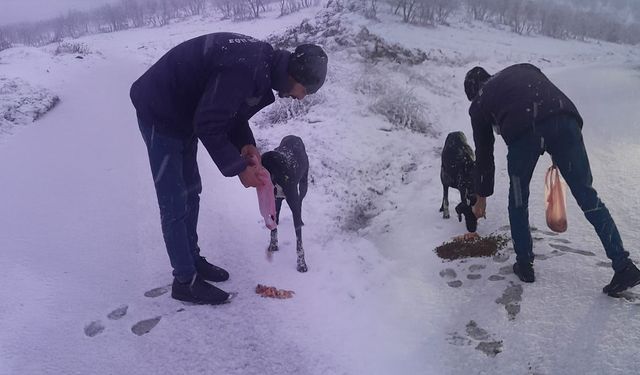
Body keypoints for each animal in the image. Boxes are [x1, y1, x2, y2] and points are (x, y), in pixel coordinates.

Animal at [262, 135, 308, 274]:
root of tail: (294, 136)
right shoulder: (272, 200)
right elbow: (273, 230)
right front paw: (273, 245)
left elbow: (299, 243)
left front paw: (301, 264)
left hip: (304, 185)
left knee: (300, 202)